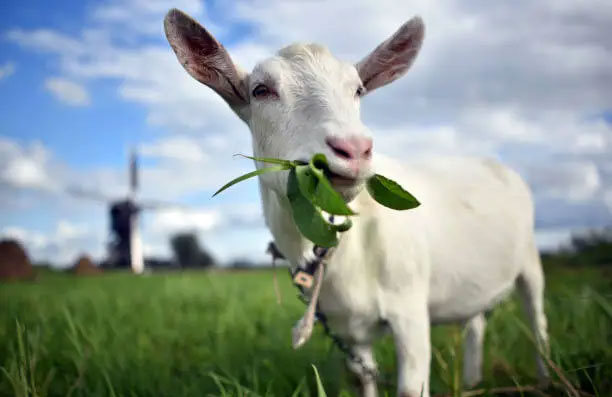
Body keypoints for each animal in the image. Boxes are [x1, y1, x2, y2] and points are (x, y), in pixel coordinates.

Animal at [163, 9, 548, 396]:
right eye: (261, 90)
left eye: (358, 89)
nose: (354, 149)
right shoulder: (348, 328)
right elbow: (365, 377)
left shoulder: (410, 313)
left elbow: (411, 387)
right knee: (476, 321)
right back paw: (471, 380)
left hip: (530, 261)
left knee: (537, 319)